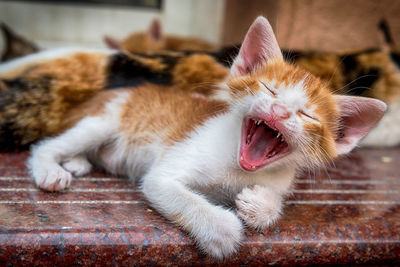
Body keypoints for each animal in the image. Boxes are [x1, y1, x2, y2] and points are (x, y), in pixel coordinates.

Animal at [2, 16, 388, 260]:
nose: (278, 112)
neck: (236, 166)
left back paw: (79, 162)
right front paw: (222, 230)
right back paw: (51, 169)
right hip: (103, 120)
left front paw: (260, 205)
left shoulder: (280, 177)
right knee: (47, 145)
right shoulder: (163, 175)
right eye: (269, 89)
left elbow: (273, 198)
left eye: (308, 116)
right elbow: (179, 195)